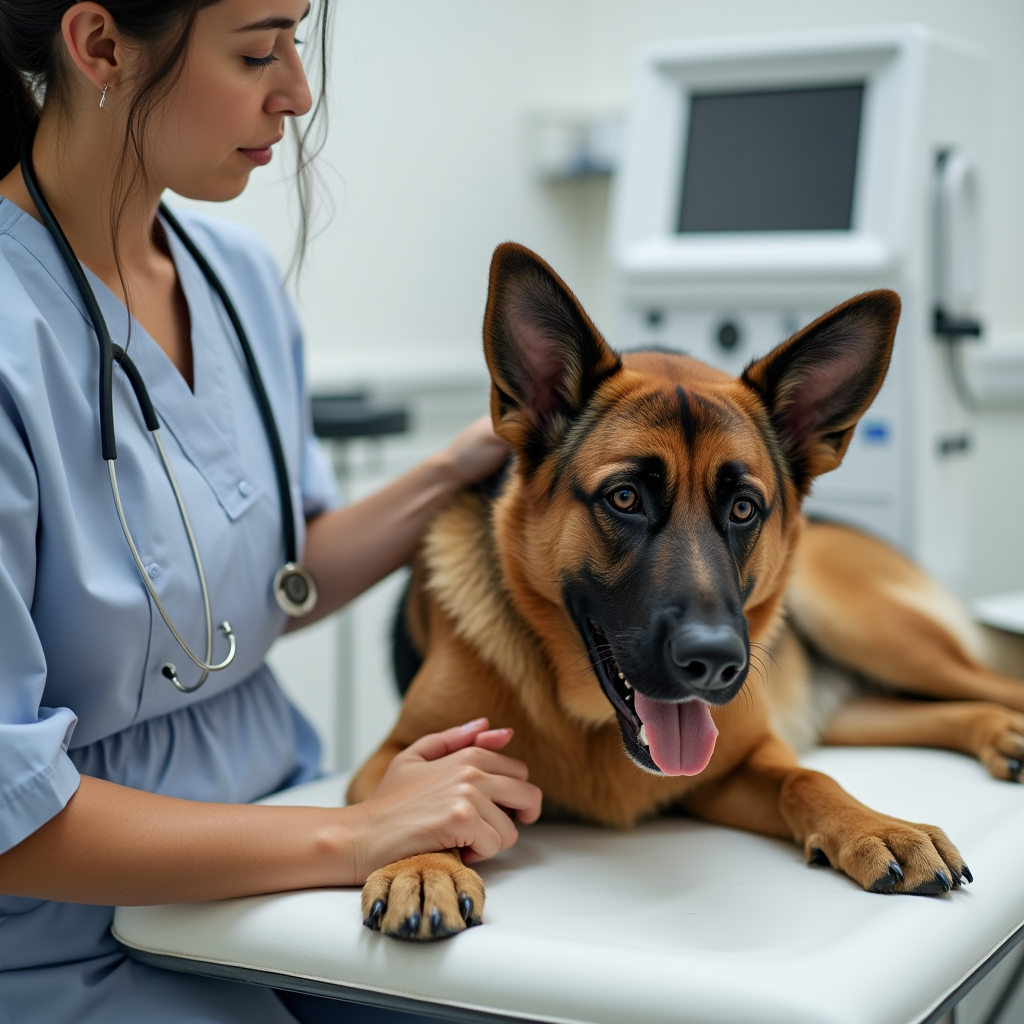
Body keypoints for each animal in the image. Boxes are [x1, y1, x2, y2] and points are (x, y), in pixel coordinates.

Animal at [348, 243, 1024, 937]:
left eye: (744, 509)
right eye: (625, 498)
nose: (714, 662)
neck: (589, 722)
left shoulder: (745, 763)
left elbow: (806, 780)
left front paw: (879, 827)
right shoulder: (388, 756)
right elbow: (412, 793)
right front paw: (421, 861)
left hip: (873, 630)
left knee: (995, 683)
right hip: (858, 697)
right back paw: (997, 732)